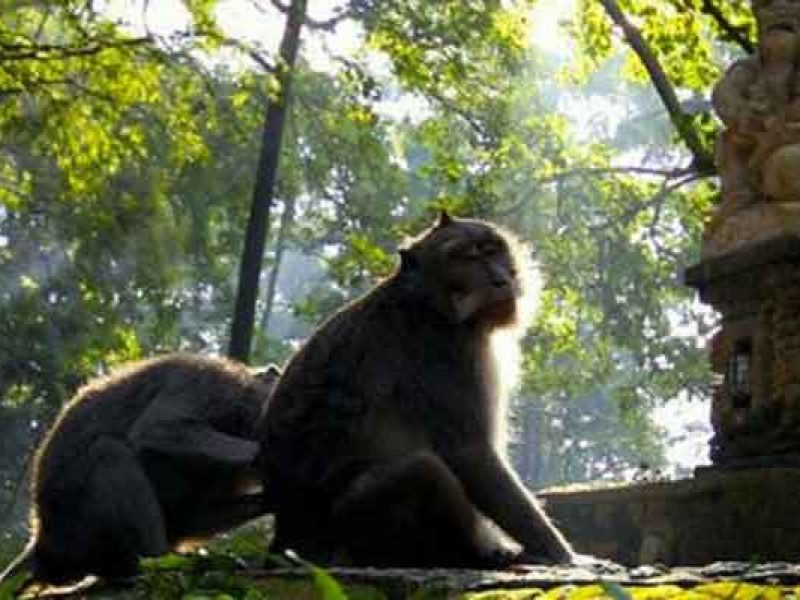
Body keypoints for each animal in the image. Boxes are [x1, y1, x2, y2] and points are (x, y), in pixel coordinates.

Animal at [0, 354, 280, 587]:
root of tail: (42, 541)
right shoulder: (209, 385)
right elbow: (157, 429)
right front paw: (260, 453)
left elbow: (193, 517)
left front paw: (271, 499)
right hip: (75, 529)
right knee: (110, 452)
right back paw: (155, 562)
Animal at [258, 212, 576, 568]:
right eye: (466, 257)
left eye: (493, 250)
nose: (500, 279)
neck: (430, 301)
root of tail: (284, 541)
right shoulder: (445, 349)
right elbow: (469, 453)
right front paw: (559, 552)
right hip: (348, 527)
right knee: (422, 470)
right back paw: (474, 555)